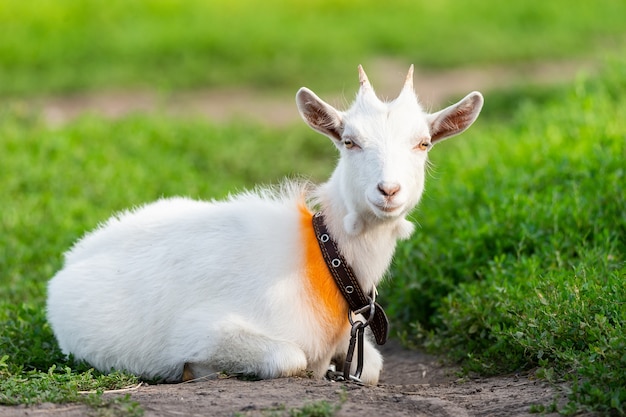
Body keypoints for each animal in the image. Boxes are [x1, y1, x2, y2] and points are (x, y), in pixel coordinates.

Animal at [46, 64, 482, 384]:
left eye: (423, 143)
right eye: (349, 141)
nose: (388, 190)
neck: (323, 256)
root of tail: (72, 257)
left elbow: (371, 367)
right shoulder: (201, 330)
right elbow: (289, 357)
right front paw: (197, 370)